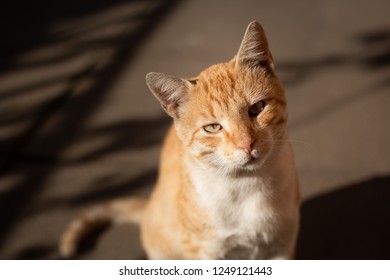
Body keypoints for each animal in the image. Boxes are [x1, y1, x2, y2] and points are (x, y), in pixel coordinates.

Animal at [59, 20, 300, 260]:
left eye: (257, 108)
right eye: (213, 127)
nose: (247, 144)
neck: (246, 185)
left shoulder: (282, 246)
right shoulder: (203, 252)